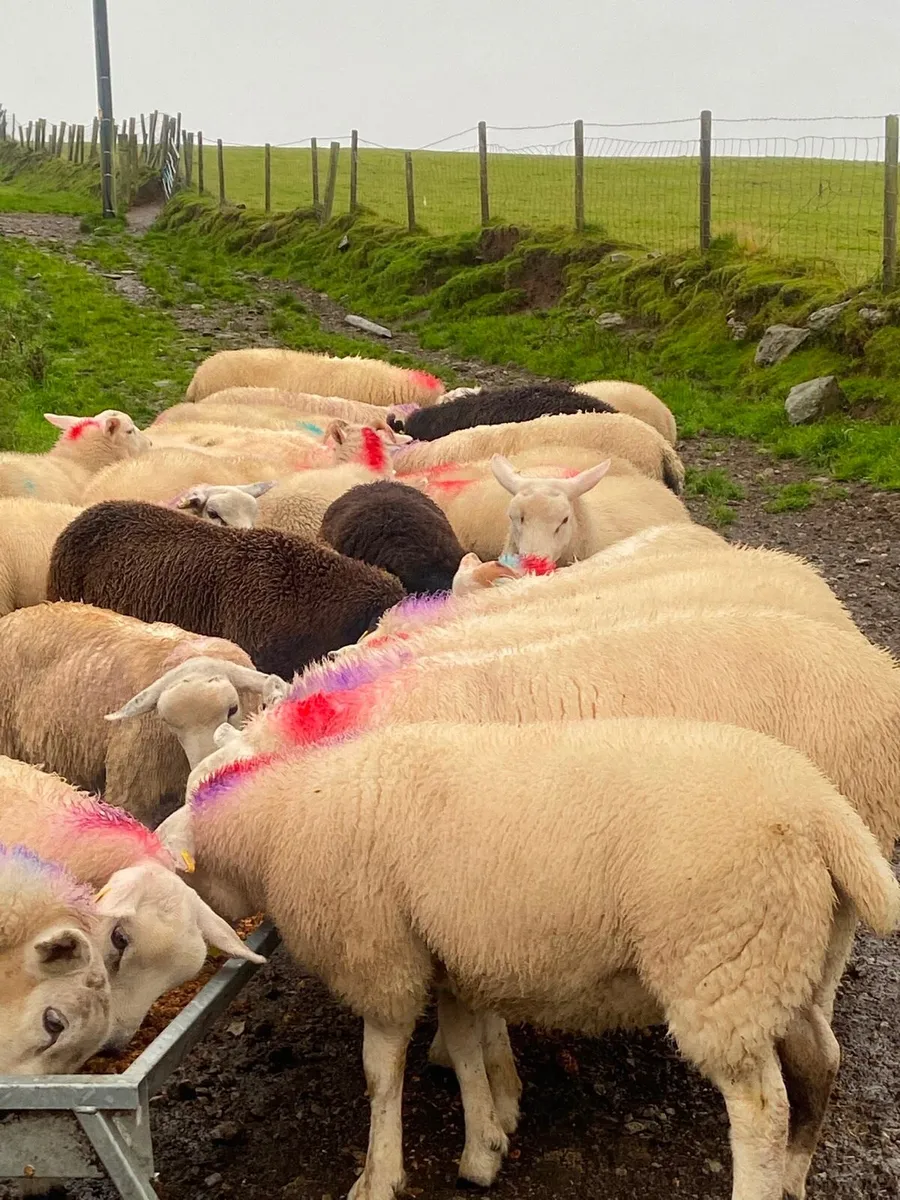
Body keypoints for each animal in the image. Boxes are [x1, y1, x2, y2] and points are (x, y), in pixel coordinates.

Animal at [157, 716, 900, 1200]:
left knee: (761, 1108)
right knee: (820, 1060)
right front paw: (484, 1145)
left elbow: (379, 1073)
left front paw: (378, 1175)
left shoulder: (382, 961)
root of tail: (823, 811)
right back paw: (796, 1176)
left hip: (720, 965)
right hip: (782, 958)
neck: (281, 816)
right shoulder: (450, 958)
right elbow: (464, 1049)